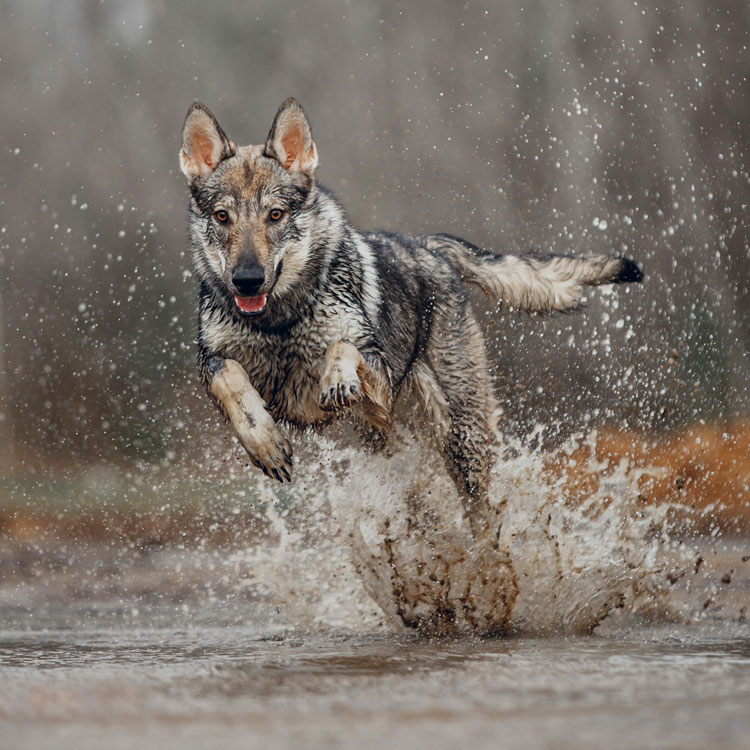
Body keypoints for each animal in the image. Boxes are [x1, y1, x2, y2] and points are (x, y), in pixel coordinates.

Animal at [178, 98, 642, 536]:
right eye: (223, 217)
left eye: (275, 215)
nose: (247, 281)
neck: (279, 323)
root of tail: (429, 246)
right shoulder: (212, 360)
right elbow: (231, 381)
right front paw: (266, 444)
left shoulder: (378, 381)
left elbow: (343, 346)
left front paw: (337, 378)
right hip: (387, 441)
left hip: (459, 439)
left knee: (484, 512)